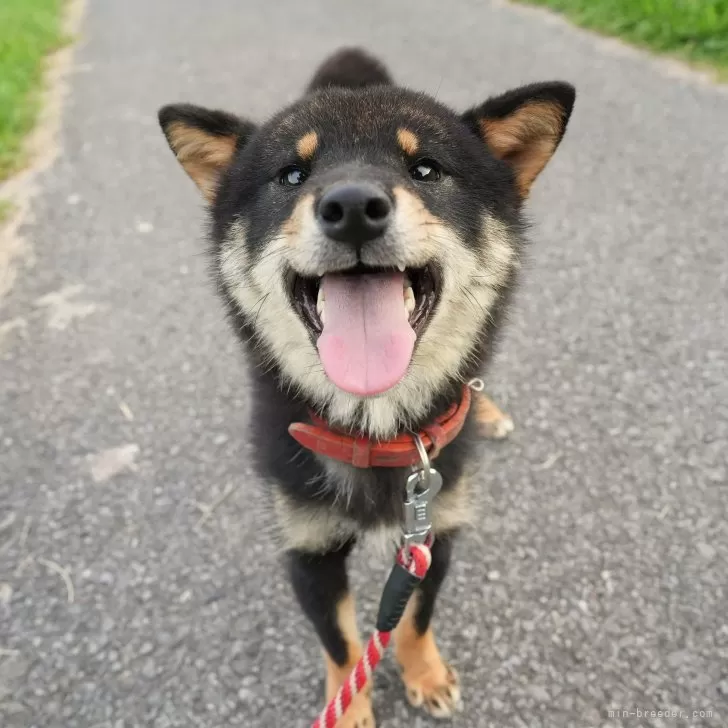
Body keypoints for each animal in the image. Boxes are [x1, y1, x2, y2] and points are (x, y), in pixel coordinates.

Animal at [158, 48, 576, 724]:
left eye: (426, 168)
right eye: (291, 174)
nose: (352, 203)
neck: (377, 433)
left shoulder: (434, 531)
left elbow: (413, 618)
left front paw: (424, 672)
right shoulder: (308, 548)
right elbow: (343, 640)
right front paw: (349, 706)